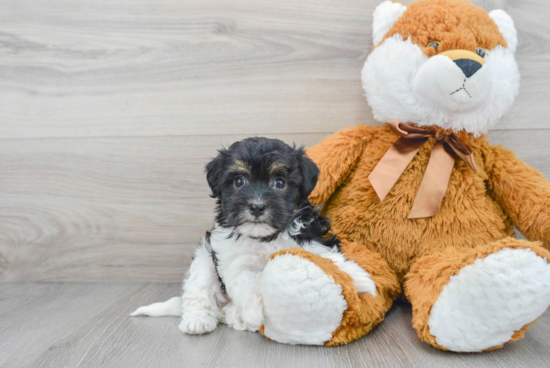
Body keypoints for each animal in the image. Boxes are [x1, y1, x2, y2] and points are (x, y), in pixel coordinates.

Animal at [132, 137, 378, 334]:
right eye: (239, 181)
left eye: (280, 182)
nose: (257, 206)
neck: (265, 237)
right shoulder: (231, 258)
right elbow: (245, 281)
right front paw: (253, 313)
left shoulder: (309, 236)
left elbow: (329, 258)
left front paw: (360, 279)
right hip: (204, 258)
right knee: (198, 290)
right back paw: (199, 320)